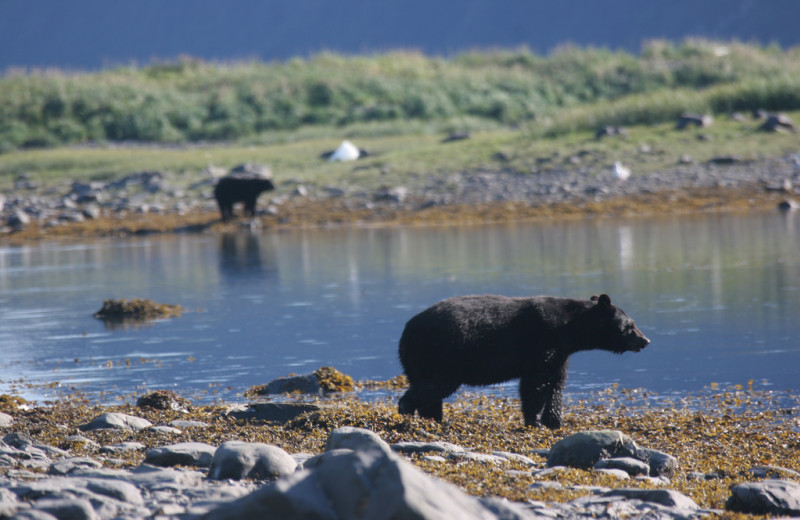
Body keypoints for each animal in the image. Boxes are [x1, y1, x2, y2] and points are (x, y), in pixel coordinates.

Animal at [396, 294, 648, 428]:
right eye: (629, 325)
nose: (645, 340)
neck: (569, 328)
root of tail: (407, 331)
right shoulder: (542, 342)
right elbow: (535, 384)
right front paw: (534, 421)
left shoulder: (560, 353)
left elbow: (557, 384)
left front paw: (555, 421)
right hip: (442, 355)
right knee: (434, 386)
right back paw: (407, 411)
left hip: (418, 361)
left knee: (428, 390)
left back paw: (433, 419)